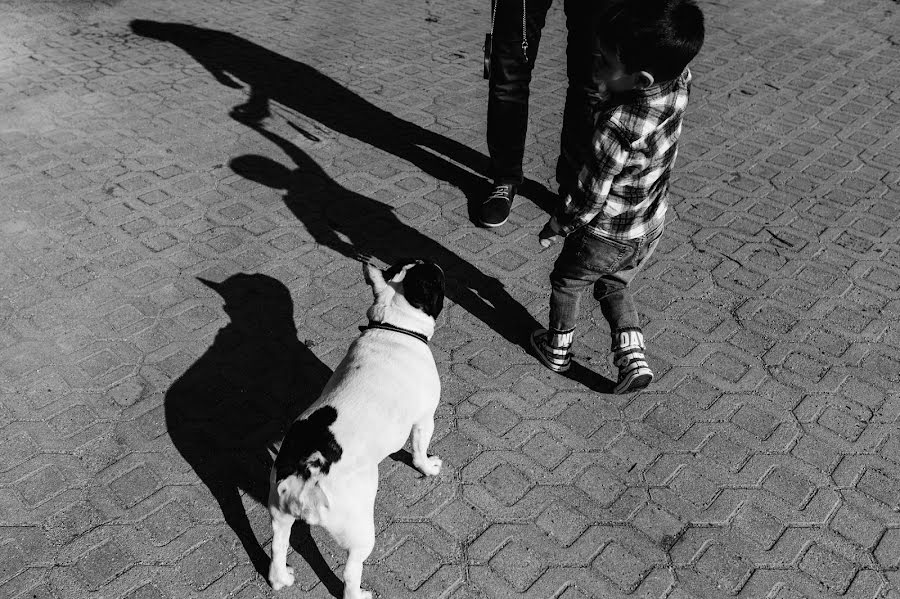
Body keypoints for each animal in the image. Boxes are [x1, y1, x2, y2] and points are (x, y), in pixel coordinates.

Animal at [268, 260, 448, 596]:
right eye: (434, 278)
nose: (436, 262)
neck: (392, 326)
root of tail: (305, 477)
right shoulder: (424, 419)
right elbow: (419, 450)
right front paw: (428, 468)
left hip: (279, 514)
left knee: (277, 548)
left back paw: (282, 578)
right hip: (360, 533)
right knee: (351, 572)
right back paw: (359, 593)